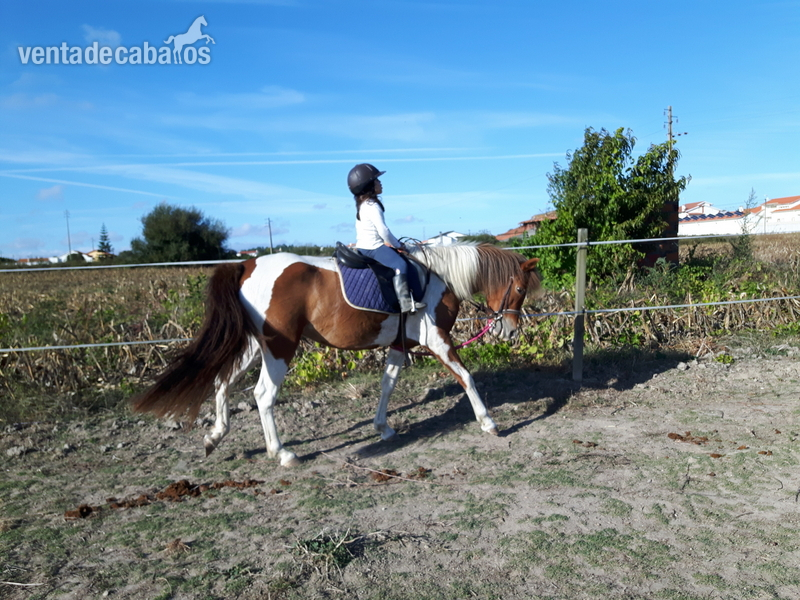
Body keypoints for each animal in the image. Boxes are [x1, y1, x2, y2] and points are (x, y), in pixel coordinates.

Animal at [132, 244, 540, 467]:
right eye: (520, 288)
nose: (510, 331)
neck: (435, 276)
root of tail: (247, 264)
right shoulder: (437, 340)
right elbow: (466, 377)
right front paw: (489, 422)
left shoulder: (398, 344)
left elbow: (388, 385)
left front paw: (383, 427)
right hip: (280, 348)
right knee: (263, 395)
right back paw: (282, 453)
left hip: (253, 346)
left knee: (222, 381)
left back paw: (216, 435)